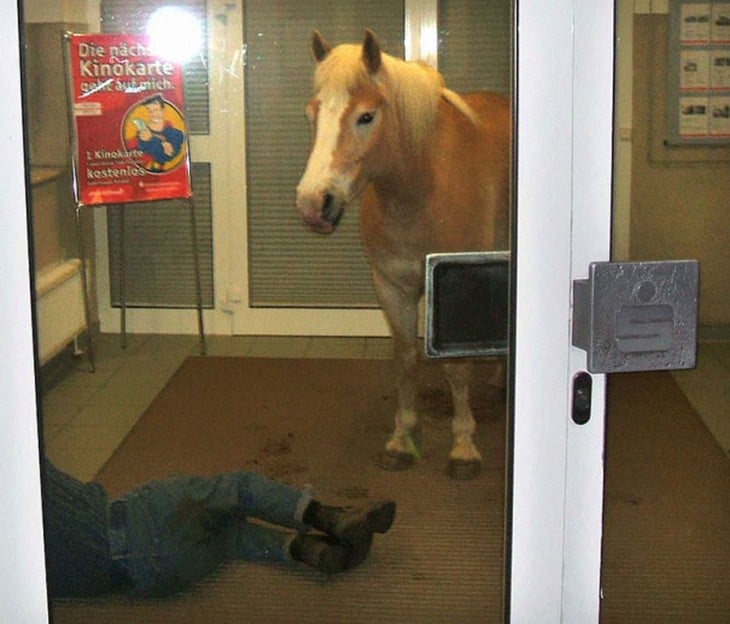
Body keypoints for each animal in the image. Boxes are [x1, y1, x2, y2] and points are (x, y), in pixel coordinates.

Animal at [292, 29, 510, 480]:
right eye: (312, 114)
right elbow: (407, 358)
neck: (423, 190)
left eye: (366, 117)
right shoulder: (391, 285)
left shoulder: (456, 289)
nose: (312, 203)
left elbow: (457, 367)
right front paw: (402, 438)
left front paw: (463, 446)